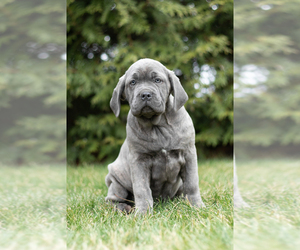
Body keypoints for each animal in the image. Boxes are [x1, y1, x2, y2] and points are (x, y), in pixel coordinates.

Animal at [104, 57, 205, 214]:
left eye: (158, 80)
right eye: (133, 82)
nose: (145, 94)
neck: (157, 125)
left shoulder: (189, 154)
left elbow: (192, 183)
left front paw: (197, 206)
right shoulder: (139, 161)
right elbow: (142, 190)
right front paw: (143, 213)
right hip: (116, 180)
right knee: (112, 199)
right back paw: (123, 208)